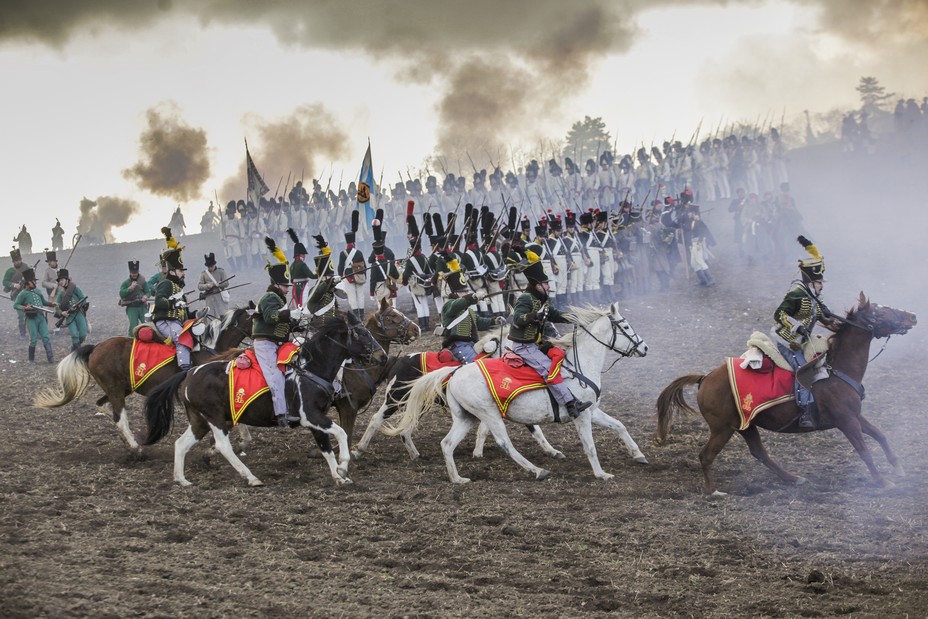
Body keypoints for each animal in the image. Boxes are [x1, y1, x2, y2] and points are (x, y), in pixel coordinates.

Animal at [33, 306, 256, 456]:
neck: (211, 349)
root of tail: (95, 348)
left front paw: (242, 442)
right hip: (115, 389)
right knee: (119, 416)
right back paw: (135, 447)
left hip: (121, 389)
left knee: (103, 406)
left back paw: (128, 439)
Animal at [144, 312, 388, 486]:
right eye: (361, 334)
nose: (382, 356)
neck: (310, 368)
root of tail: (190, 373)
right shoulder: (311, 416)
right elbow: (341, 433)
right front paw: (344, 466)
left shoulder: (317, 419)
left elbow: (326, 447)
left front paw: (338, 476)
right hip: (215, 417)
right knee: (223, 446)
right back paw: (250, 477)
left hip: (199, 420)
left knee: (181, 443)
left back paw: (182, 479)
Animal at [380, 306, 648, 484]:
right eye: (625, 326)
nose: (644, 347)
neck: (577, 365)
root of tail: (454, 373)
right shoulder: (581, 415)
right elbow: (589, 445)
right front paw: (601, 473)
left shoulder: (591, 410)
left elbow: (620, 425)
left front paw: (639, 455)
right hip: (486, 413)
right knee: (504, 443)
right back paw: (537, 470)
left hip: (466, 417)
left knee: (446, 443)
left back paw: (457, 478)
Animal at [656, 294, 916, 496]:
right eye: (881, 312)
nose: (912, 316)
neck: (835, 369)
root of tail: (705, 378)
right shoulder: (846, 421)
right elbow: (864, 451)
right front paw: (883, 482)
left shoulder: (855, 416)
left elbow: (880, 435)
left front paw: (898, 467)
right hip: (723, 429)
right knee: (706, 456)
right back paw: (713, 491)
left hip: (745, 425)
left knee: (759, 453)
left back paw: (793, 478)